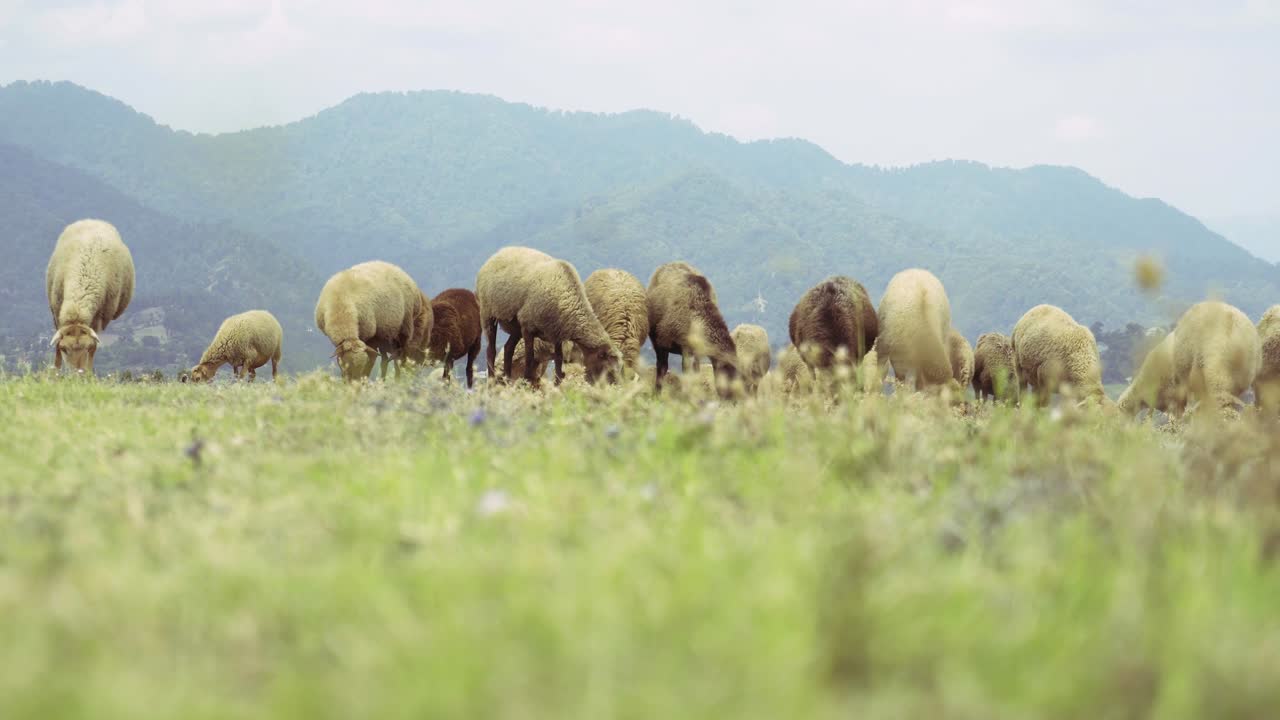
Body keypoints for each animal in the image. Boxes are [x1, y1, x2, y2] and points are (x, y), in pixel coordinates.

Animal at [45, 219, 135, 373]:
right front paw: (55, 372)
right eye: (64, 349)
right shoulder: (56, 313)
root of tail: (94, 220)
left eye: (87, 348)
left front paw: (89, 373)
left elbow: (94, 348)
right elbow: (56, 345)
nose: (77, 374)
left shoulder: (99, 318)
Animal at [475, 246, 621, 385]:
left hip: (516, 326)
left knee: (508, 349)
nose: (615, 386)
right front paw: (527, 381)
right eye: (608, 368)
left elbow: (558, 362)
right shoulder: (528, 327)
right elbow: (530, 358)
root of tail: (497, 254)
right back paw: (492, 380)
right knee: (491, 351)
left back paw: (507, 379)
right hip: (488, 314)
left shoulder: (555, 334)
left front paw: (557, 384)